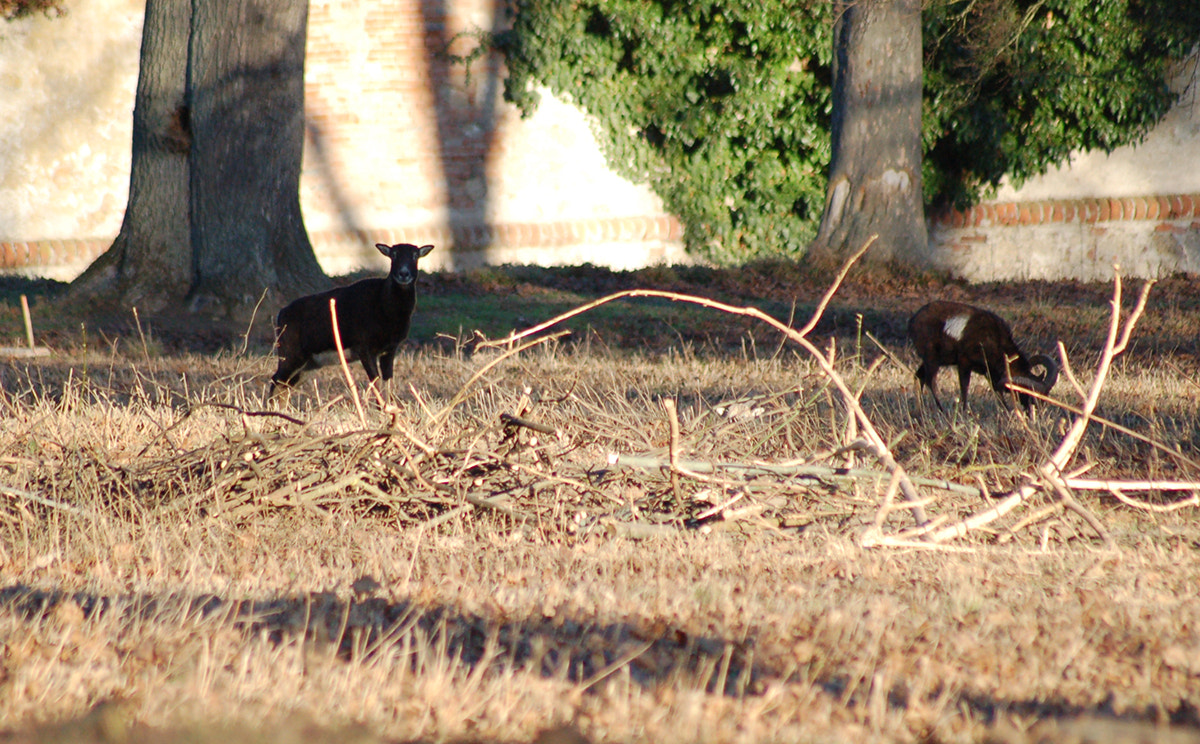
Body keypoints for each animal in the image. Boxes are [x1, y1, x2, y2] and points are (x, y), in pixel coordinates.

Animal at [269, 242, 434, 398]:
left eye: (415, 255)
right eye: (393, 254)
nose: (403, 273)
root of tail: (280, 315)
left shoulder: (390, 348)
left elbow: (387, 382)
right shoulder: (363, 345)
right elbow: (375, 382)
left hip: (309, 362)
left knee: (285, 386)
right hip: (290, 351)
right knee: (275, 379)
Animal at [908, 300, 1058, 412]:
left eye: (1045, 395)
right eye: (1030, 394)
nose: (1039, 411)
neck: (994, 340)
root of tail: (914, 319)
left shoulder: (989, 372)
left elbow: (997, 392)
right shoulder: (964, 364)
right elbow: (965, 389)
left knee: (919, 377)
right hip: (932, 360)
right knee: (930, 381)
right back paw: (941, 410)